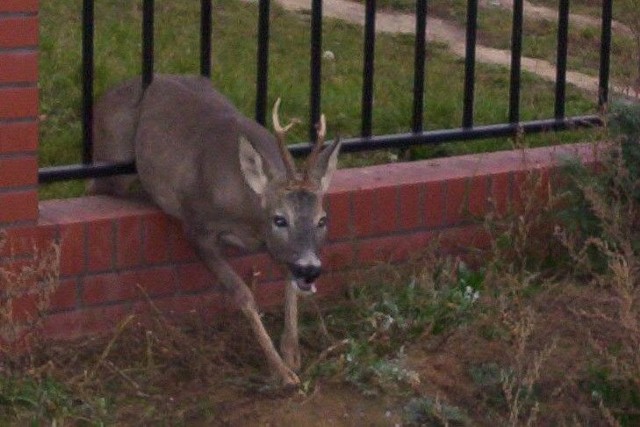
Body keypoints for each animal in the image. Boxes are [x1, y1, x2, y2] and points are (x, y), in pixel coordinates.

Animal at [90, 75, 342, 390]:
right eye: (279, 219)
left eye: (322, 220)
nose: (311, 269)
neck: (248, 215)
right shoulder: (197, 228)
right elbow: (243, 294)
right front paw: (282, 372)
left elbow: (289, 283)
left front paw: (291, 353)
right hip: (113, 157)